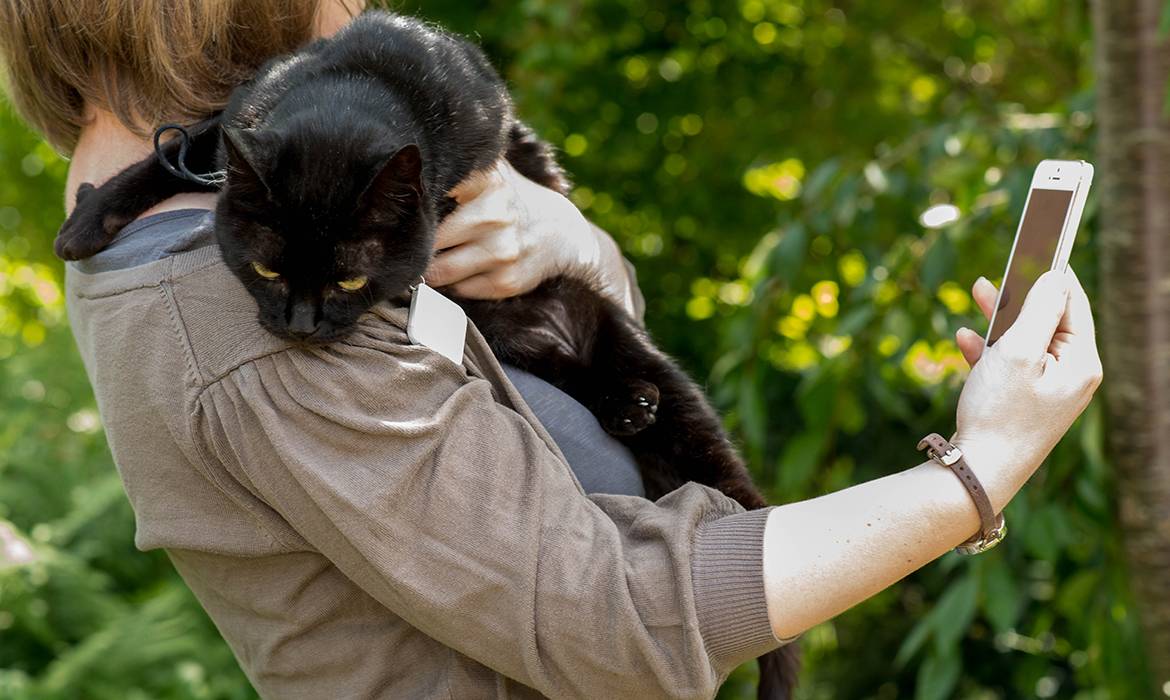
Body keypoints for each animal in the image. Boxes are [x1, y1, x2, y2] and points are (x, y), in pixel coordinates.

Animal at [57, 9, 804, 697]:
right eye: (267, 270)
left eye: (347, 280)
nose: (300, 324)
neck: (355, 88)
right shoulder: (239, 121)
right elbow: (186, 142)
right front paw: (87, 220)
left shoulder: (484, 131)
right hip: (524, 345)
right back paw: (623, 406)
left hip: (669, 393)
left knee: (739, 498)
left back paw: (637, 406)